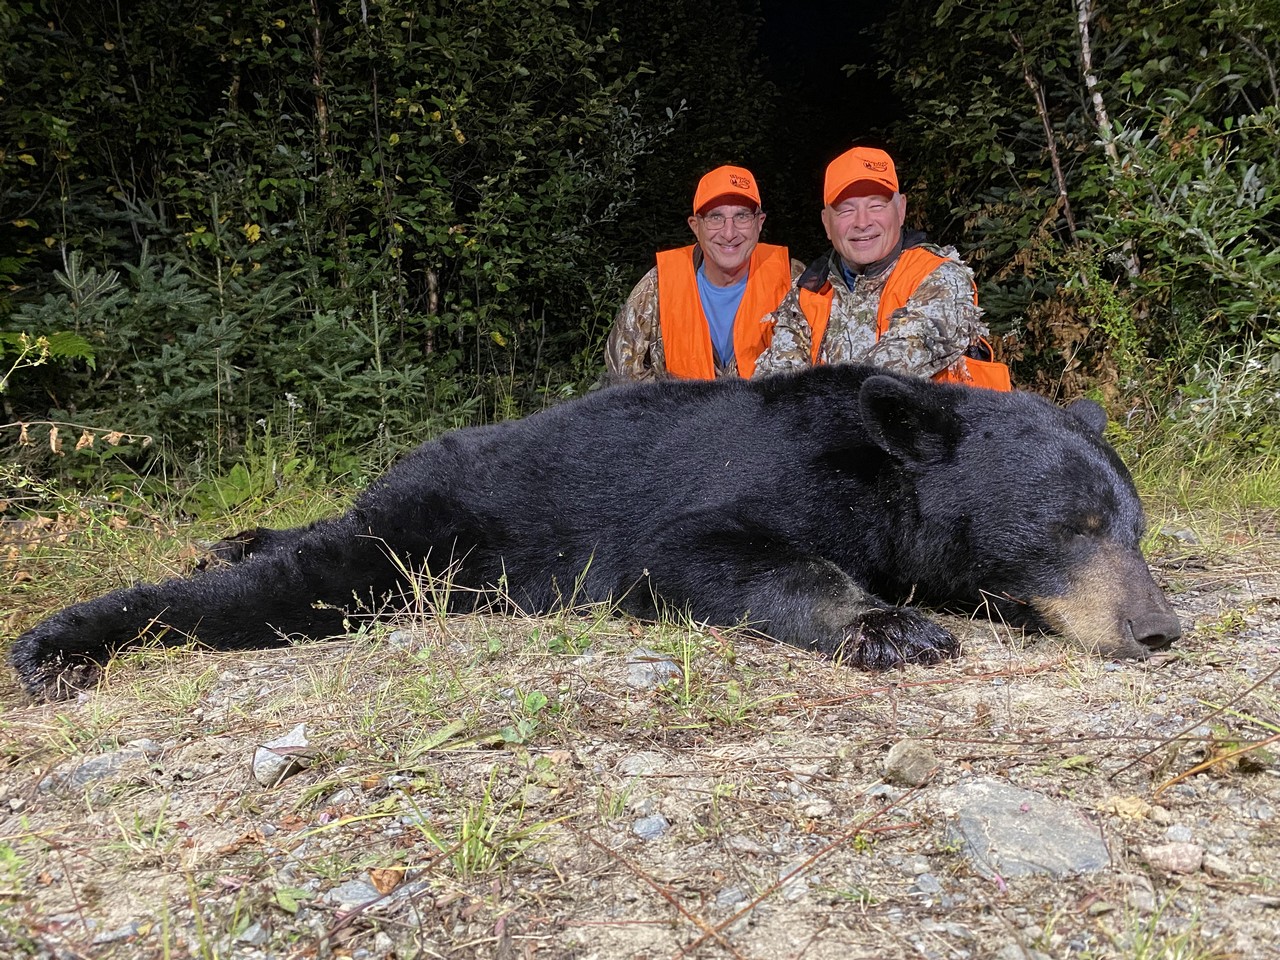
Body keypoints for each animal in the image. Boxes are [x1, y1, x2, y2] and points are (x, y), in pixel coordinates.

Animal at [7, 368, 1177, 701]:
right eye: (1070, 525)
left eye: (1136, 528)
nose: (1159, 629)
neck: (877, 478)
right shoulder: (743, 492)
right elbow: (712, 553)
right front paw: (891, 627)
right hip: (432, 539)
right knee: (297, 585)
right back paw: (58, 643)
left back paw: (237, 536)